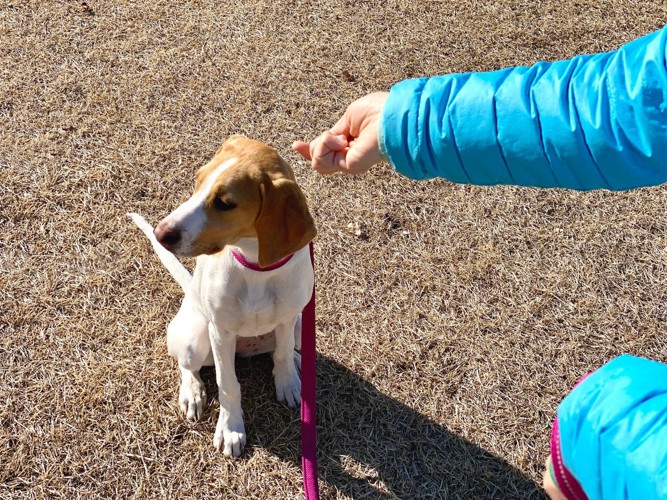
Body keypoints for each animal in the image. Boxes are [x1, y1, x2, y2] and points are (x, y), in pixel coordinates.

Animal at [132, 136, 318, 458]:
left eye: (225, 203)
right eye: (197, 180)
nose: (159, 232)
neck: (255, 266)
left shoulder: (286, 319)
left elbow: (281, 355)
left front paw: (288, 383)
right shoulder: (221, 331)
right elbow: (227, 383)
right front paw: (231, 430)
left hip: (299, 326)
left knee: (282, 349)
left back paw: (296, 363)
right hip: (195, 337)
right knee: (187, 366)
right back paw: (192, 393)